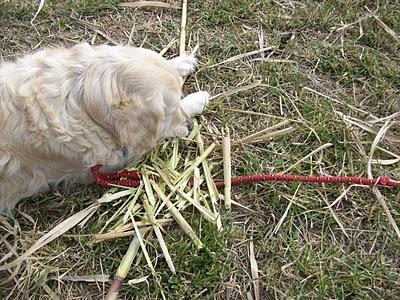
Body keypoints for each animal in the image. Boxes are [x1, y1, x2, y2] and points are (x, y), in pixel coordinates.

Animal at [0, 42, 211, 213]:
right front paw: (195, 101)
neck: (85, 103)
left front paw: (180, 62)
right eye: (169, 112)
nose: (190, 125)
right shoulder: (112, 159)